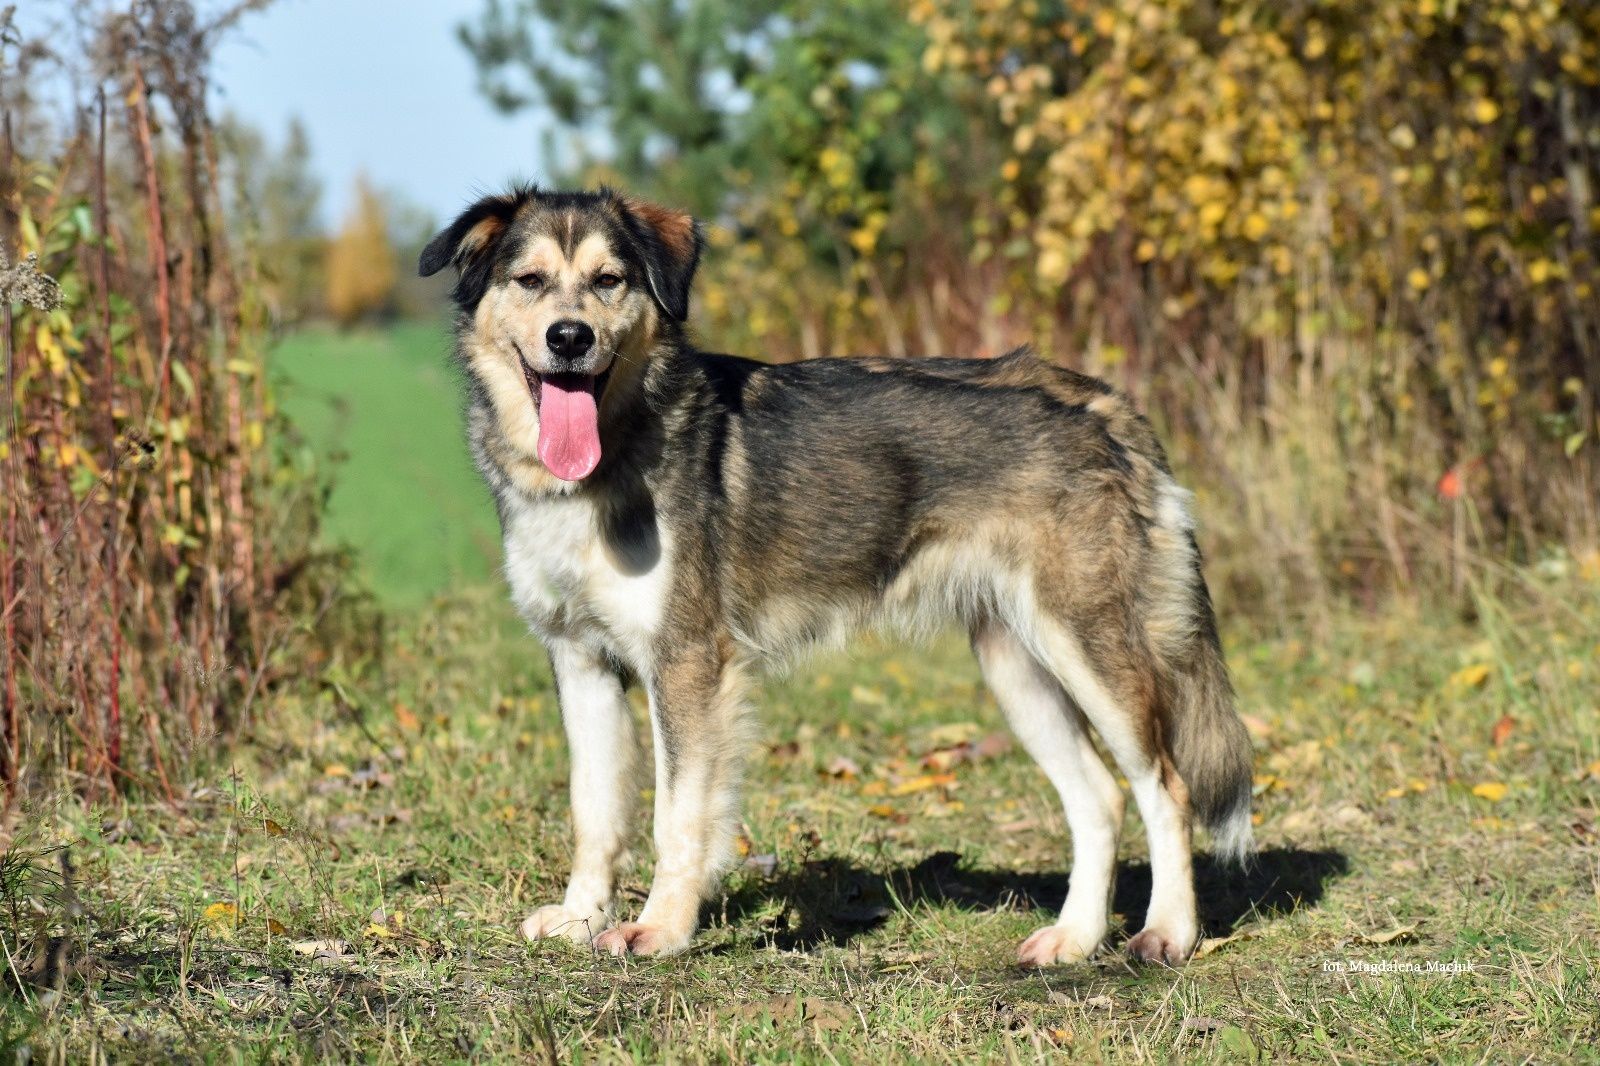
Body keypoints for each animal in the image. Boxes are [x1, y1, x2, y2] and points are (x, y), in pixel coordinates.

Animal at [419, 184, 1254, 960]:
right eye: (529, 280)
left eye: (608, 280)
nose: (570, 337)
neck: (604, 460)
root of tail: (1102, 404)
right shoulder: (580, 662)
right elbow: (594, 812)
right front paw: (582, 917)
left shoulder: (686, 665)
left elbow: (676, 817)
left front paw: (661, 929)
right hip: (1018, 666)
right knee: (1099, 799)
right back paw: (1074, 941)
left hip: (1090, 647)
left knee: (1166, 786)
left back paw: (1169, 933)